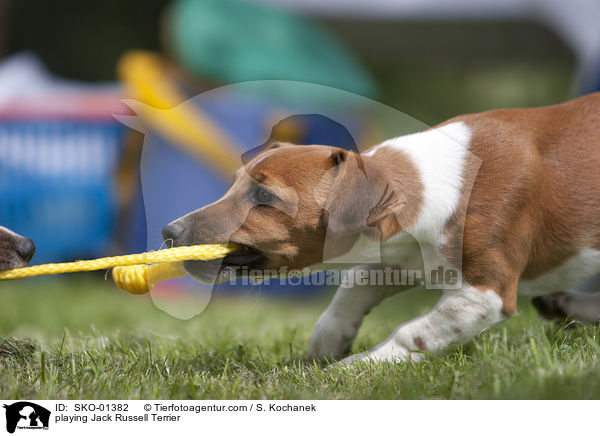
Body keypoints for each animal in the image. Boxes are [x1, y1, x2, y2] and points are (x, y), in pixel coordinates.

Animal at [162, 93, 600, 364]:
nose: (170, 232)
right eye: (234, 183)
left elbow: (413, 332)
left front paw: (355, 368)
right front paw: (325, 345)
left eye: (265, 196)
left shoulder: (485, 293)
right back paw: (566, 305)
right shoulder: (398, 257)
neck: (441, 182)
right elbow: (351, 291)